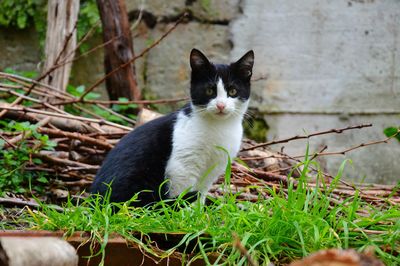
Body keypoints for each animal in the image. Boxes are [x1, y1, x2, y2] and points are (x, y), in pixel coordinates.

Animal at [90, 48, 253, 207]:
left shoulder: (213, 170)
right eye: (209, 91)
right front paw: (183, 213)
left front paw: (199, 213)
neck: (218, 128)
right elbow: (182, 191)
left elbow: (201, 193)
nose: (221, 105)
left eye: (232, 91)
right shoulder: (181, 166)